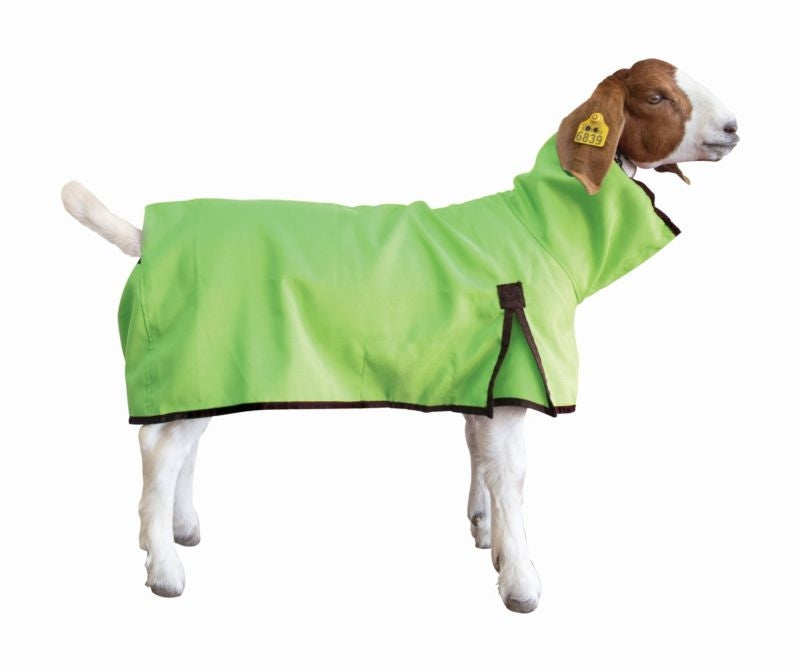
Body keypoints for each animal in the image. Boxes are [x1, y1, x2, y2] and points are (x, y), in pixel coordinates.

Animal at [61, 58, 738, 612]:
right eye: (655, 95)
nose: (733, 126)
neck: (539, 229)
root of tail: (145, 238)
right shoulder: (518, 375)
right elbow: (514, 478)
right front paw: (522, 583)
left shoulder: (486, 378)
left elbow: (482, 459)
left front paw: (487, 537)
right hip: (195, 352)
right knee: (159, 451)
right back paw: (165, 569)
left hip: (205, 366)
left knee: (179, 443)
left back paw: (179, 529)